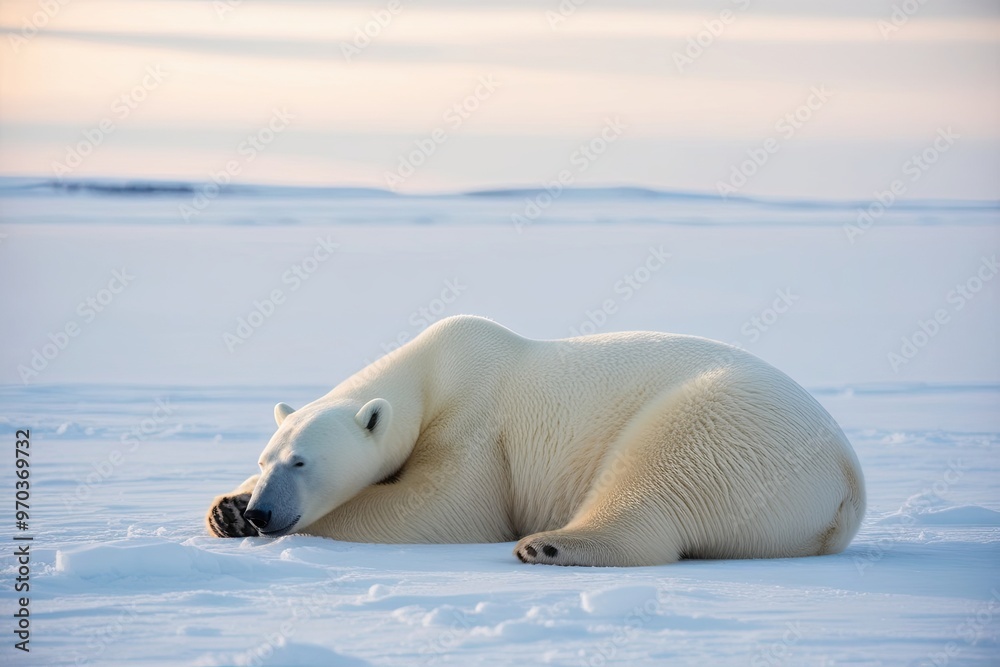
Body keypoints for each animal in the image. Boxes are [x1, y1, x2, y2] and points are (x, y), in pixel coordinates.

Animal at [206, 315, 865, 567]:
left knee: (658, 476)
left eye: (301, 462)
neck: (432, 370)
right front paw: (224, 509)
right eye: (266, 458)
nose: (262, 513)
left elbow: (439, 509)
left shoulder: (476, 423)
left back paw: (549, 545)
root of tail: (847, 481)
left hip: (731, 427)